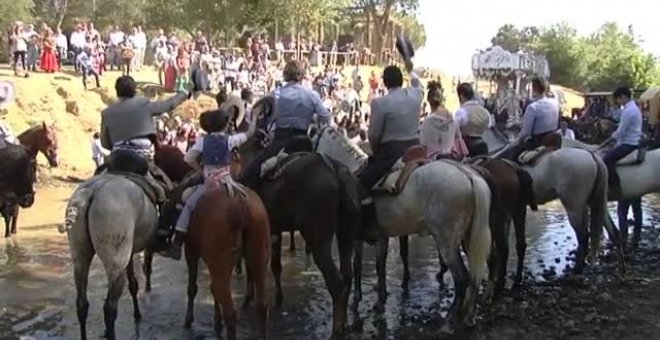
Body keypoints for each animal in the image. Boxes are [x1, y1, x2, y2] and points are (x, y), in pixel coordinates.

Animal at [62, 157, 162, 340]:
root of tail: (92, 193)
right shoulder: (147, 245)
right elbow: (146, 268)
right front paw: (147, 292)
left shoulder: (130, 251)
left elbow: (133, 283)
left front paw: (137, 312)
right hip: (116, 261)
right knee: (109, 308)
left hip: (80, 256)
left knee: (81, 303)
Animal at [179, 182, 270, 340]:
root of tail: (239, 200)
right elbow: (213, 290)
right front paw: (217, 322)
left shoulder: (191, 250)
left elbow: (192, 287)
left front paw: (189, 319)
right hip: (257, 258)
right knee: (261, 306)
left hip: (220, 264)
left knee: (231, 314)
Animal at [312, 125, 492, 330]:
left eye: (312, 139)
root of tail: (468, 175)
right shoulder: (382, 237)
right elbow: (380, 265)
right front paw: (380, 299)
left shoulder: (355, 237)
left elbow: (357, 266)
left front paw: (357, 299)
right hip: (468, 238)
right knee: (474, 276)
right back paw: (468, 315)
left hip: (447, 242)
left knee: (462, 277)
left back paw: (451, 317)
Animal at [482, 127, 620, 274]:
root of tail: (591, 155)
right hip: (593, 202)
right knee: (607, 229)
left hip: (574, 205)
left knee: (583, 234)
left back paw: (577, 268)